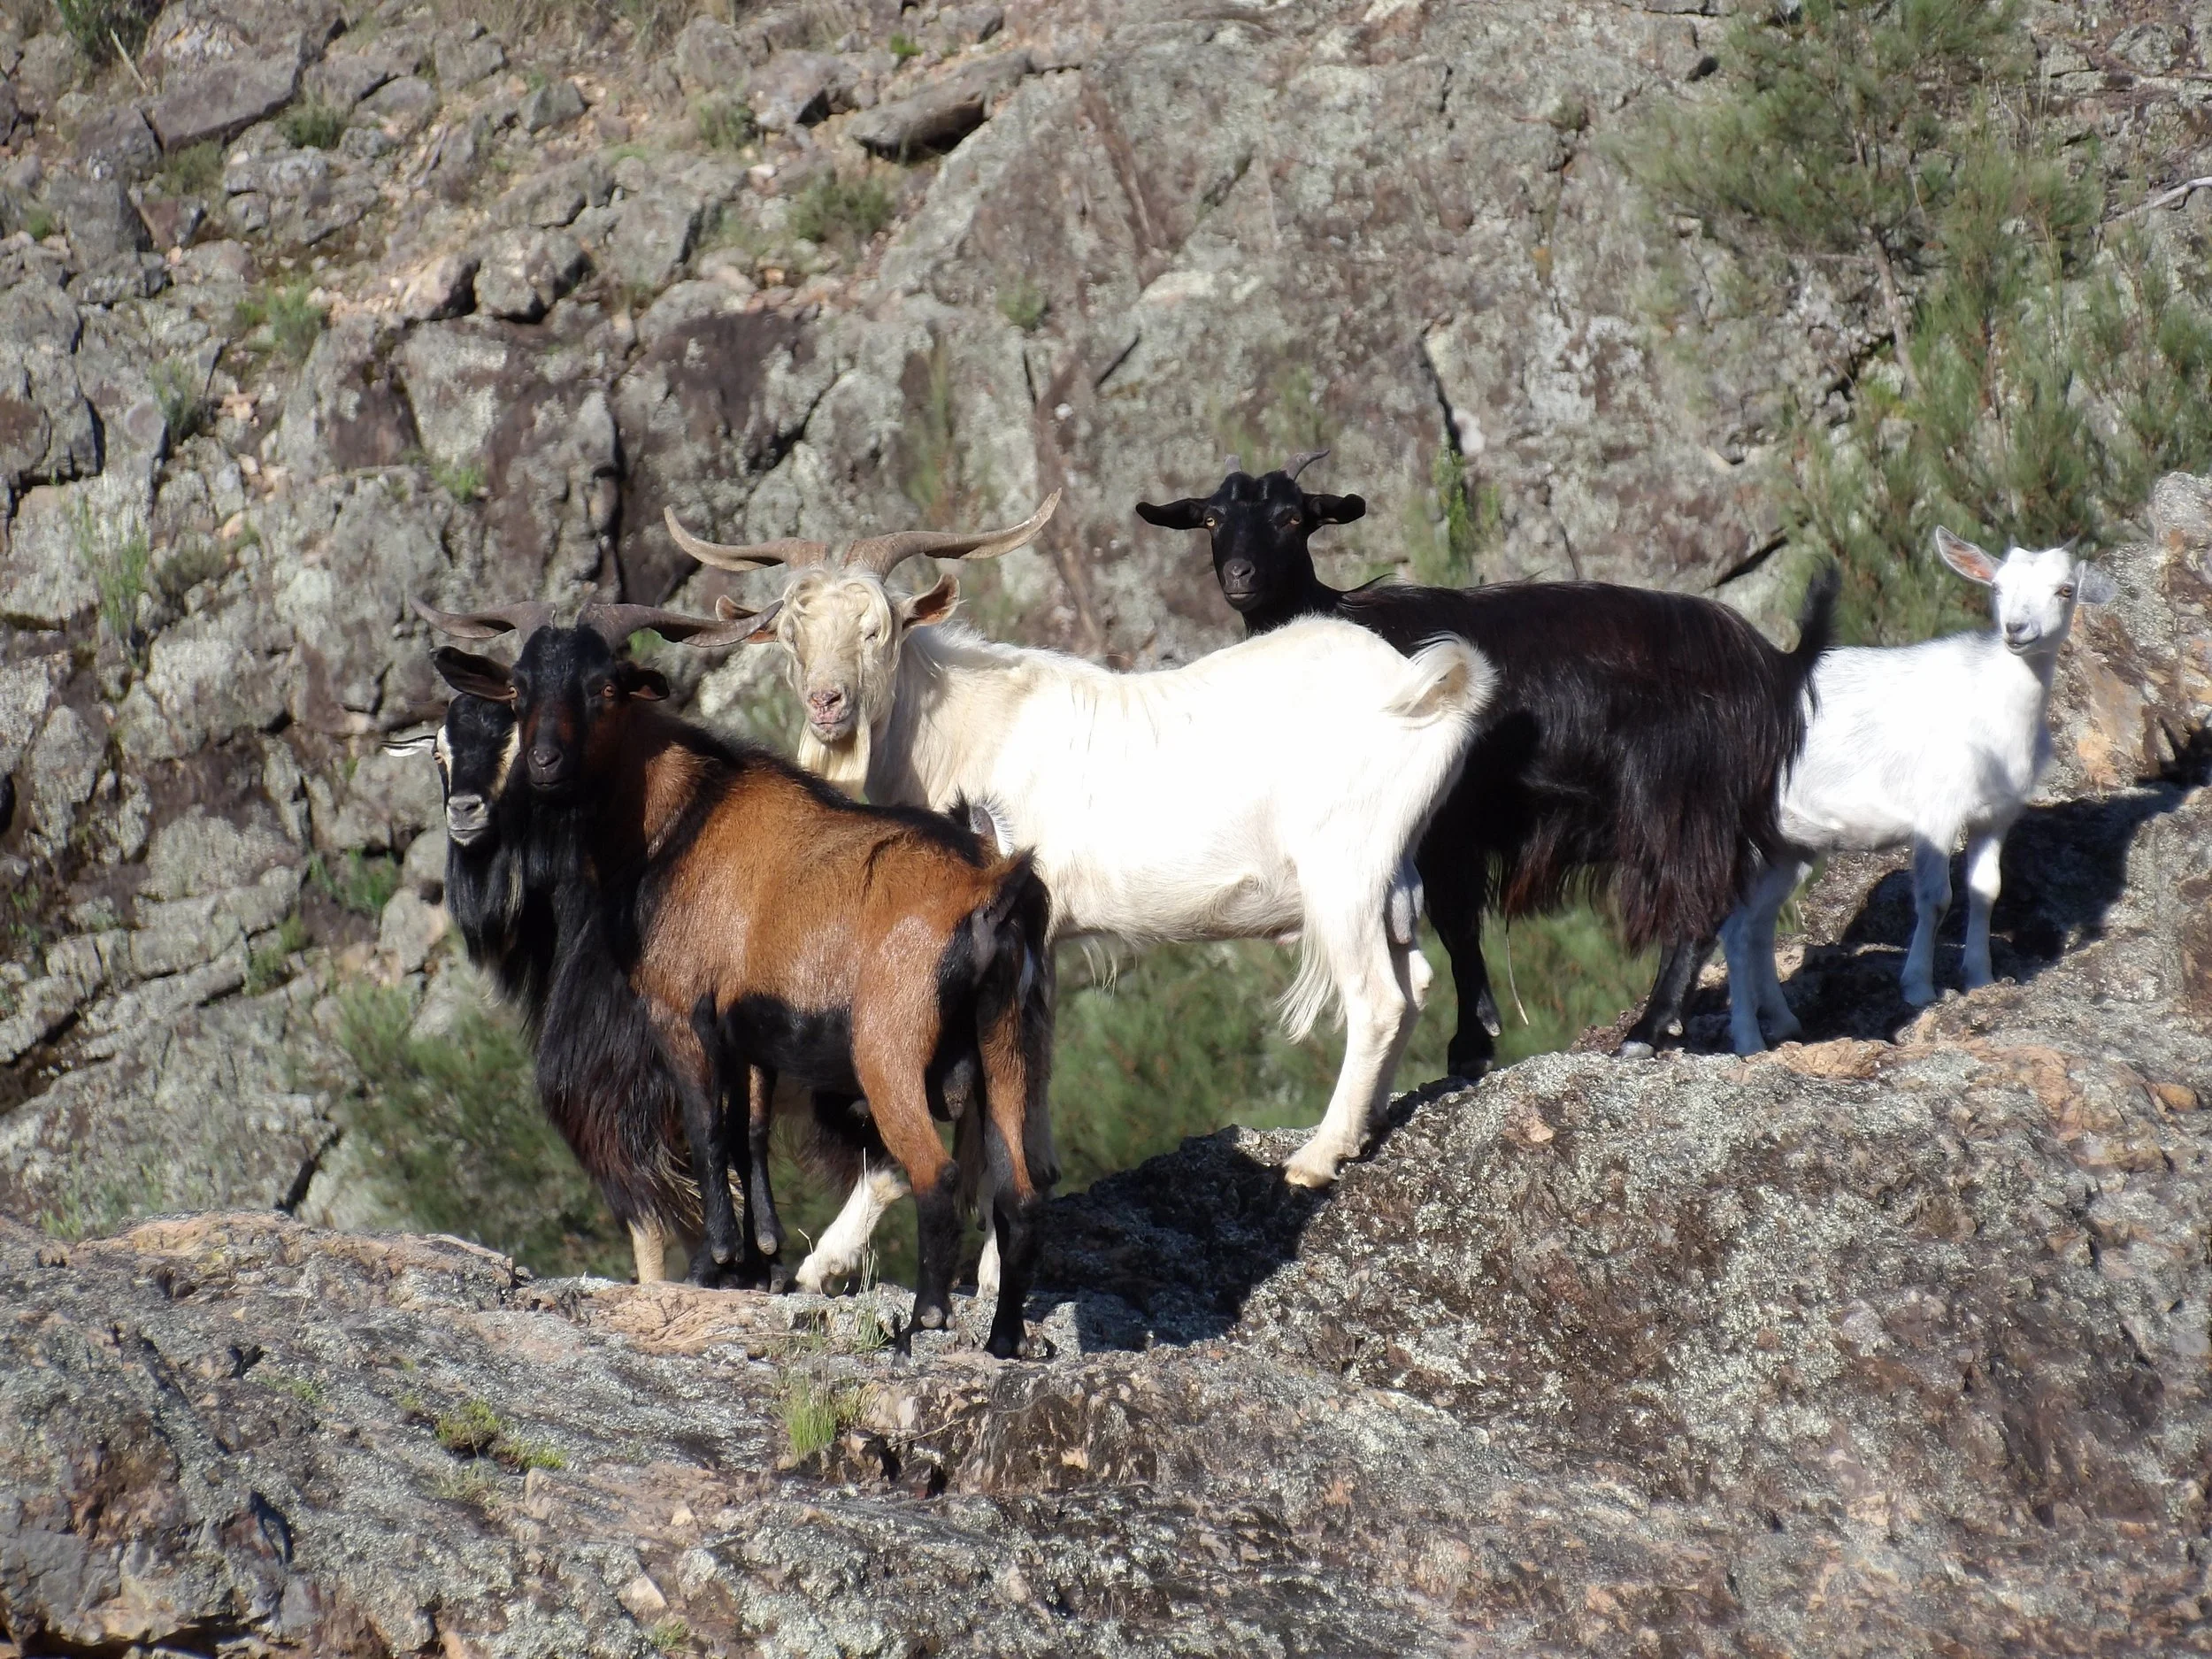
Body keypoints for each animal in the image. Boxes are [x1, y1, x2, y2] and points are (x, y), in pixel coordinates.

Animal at [421, 602, 1058, 1357]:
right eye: (518, 690)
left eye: (605, 687)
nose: (545, 764)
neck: (679, 819)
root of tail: (997, 890)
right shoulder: (749, 1029)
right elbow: (748, 1129)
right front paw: (762, 1258)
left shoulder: (678, 1007)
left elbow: (707, 1127)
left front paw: (717, 1260)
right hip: (1009, 1044)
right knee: (1020, 1192)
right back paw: (1003, 1339)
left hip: (890, 1051)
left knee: (937, 1173)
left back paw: (923, 1321)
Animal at [671, 501, 1495, 1211]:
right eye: (792, 634)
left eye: (879, 628)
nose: (828, 703)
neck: (958, 729)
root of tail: (1425, 687)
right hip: (1393, 874)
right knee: (1416, 979)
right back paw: (1363, 1130)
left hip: (1342, 868)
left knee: (1379, 998)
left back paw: (1317, 1157)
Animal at [1135, 452, 1836, 1075]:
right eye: (1211, 519)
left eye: (1290, 517)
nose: (1240, 576)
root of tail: (1774, 665)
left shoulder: (1442, 826)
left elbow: (1452, 925)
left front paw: (1470, 1044)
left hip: (1678, 797)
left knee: (1696, 905)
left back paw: (1645, 1030)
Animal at [1717, 529, 2118, 1054]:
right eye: (1997, 587)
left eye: (2065, 590)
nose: (2016, 629)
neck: (1994, 711)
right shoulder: (1937, 812)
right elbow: (1936, 897)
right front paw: (1919, 987)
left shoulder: (1997, 814)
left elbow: (1987, 889)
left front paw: (1980, 977)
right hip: (1739, 834)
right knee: (1733, 928)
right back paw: (1747, 1040)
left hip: (1790, 846)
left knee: (1759, 926)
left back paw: (1784, 1023)